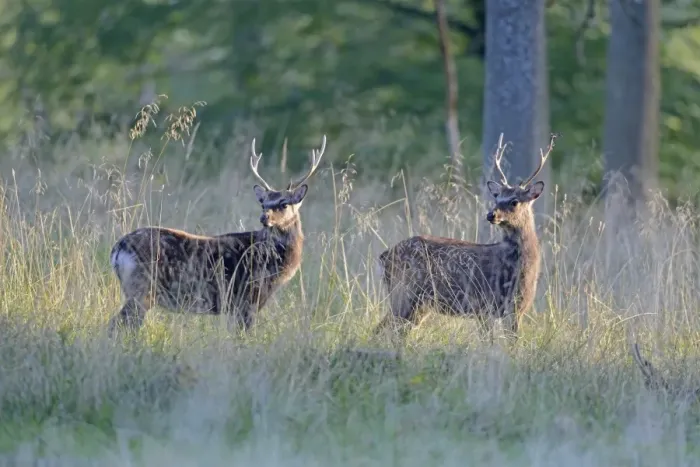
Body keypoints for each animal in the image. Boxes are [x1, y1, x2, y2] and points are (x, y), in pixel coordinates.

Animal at [107, 135, 327, 337]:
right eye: (263, 203)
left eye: (284, 203)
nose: (264, 217)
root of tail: (117, 249)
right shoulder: (247, 299)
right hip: (141, 289)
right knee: (116, 325)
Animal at [374, 133, 557, 342]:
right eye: (497, 197)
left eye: (514, 201)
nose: (491, 215)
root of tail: (384, 256)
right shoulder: (488, 305)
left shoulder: (511, 309)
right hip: (404, 293)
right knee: (382, 328)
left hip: (418, 304)